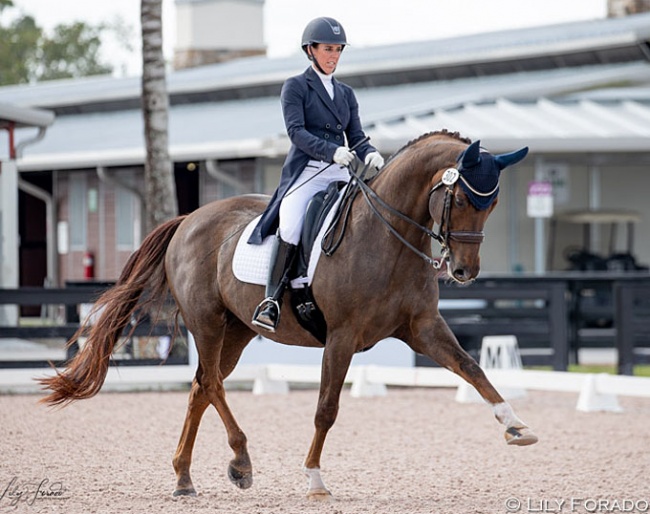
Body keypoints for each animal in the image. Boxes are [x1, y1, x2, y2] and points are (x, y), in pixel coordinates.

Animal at [39, 130, 536, 498]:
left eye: (491, 204)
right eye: (463, 200)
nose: (464, 271)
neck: (387, 238)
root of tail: (187, 220)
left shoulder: (422, 328)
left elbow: (472, 368)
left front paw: (515, 426)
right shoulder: (341, 337)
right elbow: (326, 409)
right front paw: (314, 478)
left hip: (238, 331)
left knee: (202, 386)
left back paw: (184, 477)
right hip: (207, 322)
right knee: (212, 383)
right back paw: (240, 462)